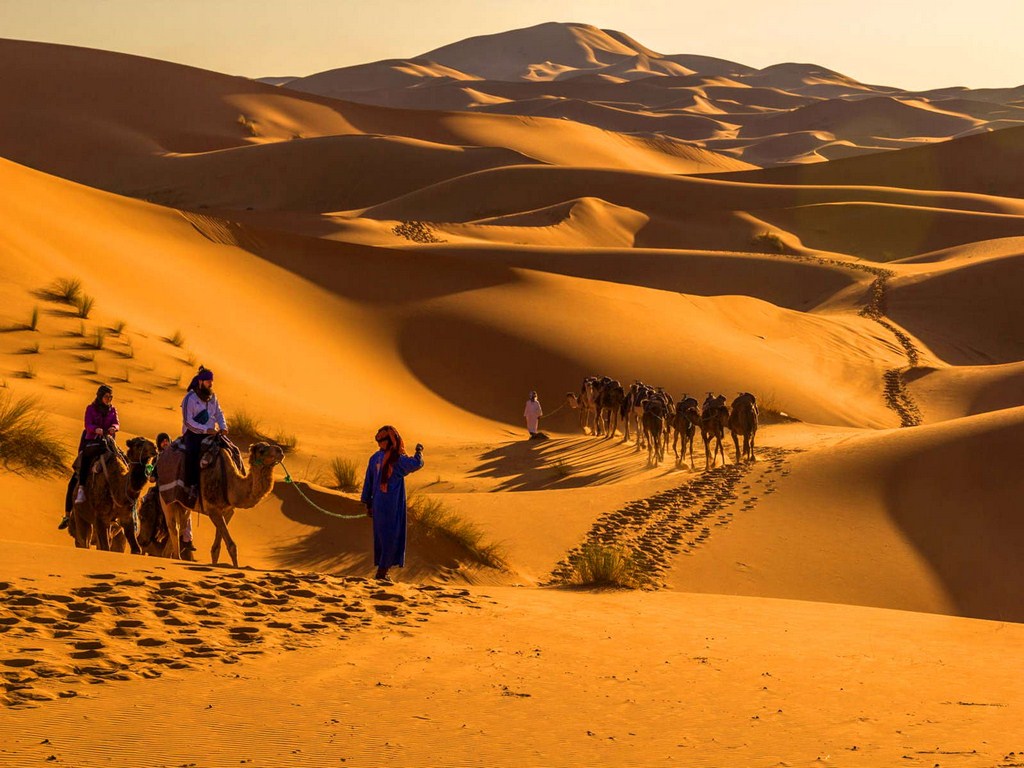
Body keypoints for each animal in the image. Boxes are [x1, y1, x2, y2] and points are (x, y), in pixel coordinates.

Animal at [161, 438, 286, 573]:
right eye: (262, 450)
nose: (280, 451)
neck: (231, 485)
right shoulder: (213, 510)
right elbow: (231, 545)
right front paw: (236, 569)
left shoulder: (227, 511)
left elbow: (216, 548)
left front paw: (216, 566)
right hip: (166, 498)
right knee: (174, 526)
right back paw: (176, 559)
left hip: (184, 505)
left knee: (181, 526)